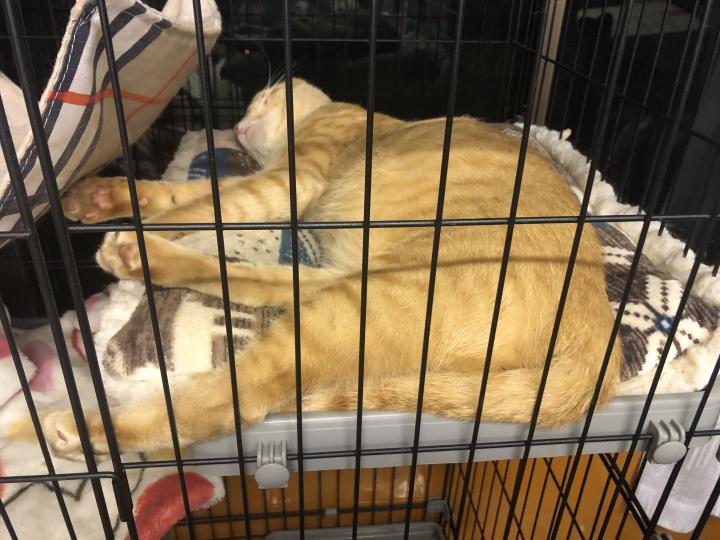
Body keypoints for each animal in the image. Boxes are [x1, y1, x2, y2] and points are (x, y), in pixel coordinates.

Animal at [46, 78, 621, 459]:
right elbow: (181, 194)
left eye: (258, 98)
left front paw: (144, 223)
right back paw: (143, 259)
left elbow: (198, 206)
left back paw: (84, 428)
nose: (237, 124)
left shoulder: (285, 182)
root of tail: (599, 335)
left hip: (371, 301)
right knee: (265, 289)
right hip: (356, 287)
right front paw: (103, 197)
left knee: (232, 398)